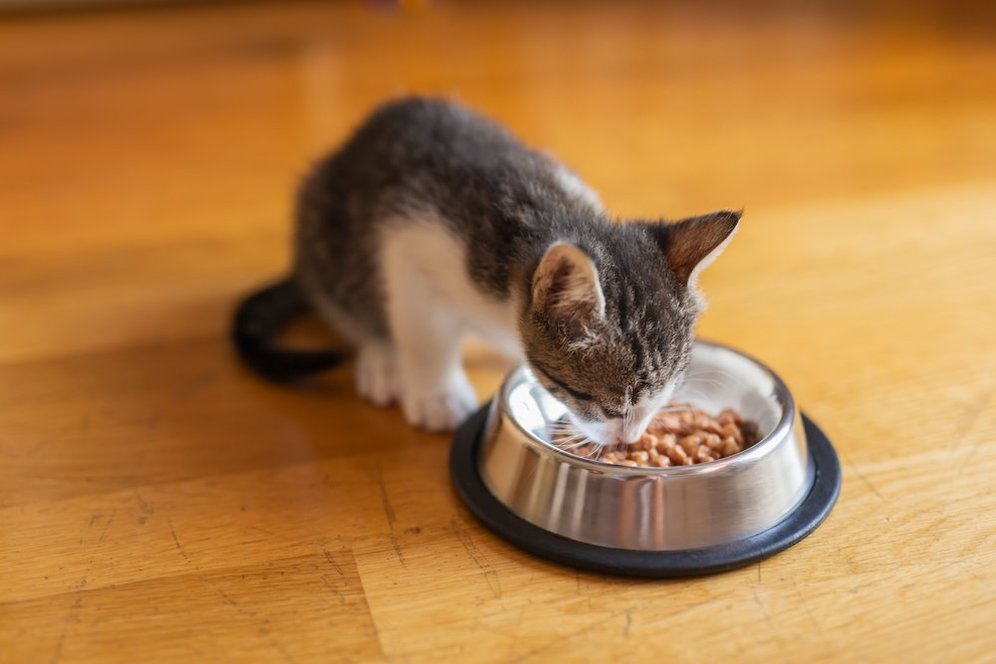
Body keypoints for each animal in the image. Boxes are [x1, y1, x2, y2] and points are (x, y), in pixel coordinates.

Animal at [233, 96, 740, 444]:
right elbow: (423, 330)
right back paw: (382, 356)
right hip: (324, 228)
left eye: (663, 399)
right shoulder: (410, 239)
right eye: (606, 406)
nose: (630, 440)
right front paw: (436, 393)